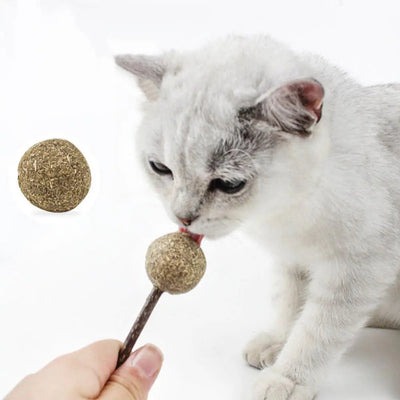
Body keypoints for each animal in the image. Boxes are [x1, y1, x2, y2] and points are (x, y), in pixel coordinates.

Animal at [114, 36, 400, 398]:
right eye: (160, 168)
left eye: (229, 184)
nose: (183, 217)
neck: (288, 213)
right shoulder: (292, 259)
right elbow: (291, 304)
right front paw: (278, 342)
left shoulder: (359, 266)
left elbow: (318, 329)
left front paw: (288, 378)